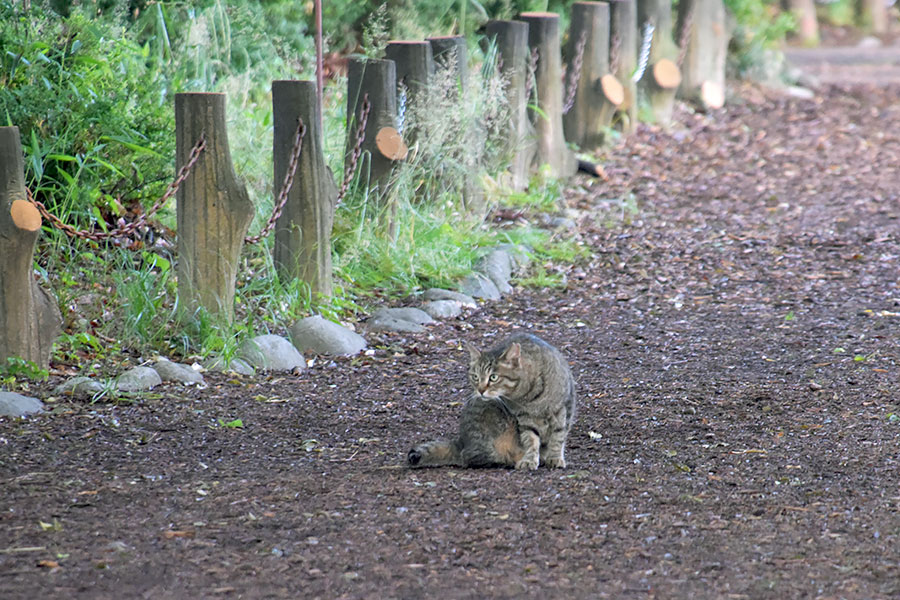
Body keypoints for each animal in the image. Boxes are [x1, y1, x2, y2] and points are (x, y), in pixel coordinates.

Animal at [408, 332, 576, 468]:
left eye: (493, 377)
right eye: (475, 377)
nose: (481, 390)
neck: (529, 397)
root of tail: (461, 441)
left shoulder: (564, 408)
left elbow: (558, 436)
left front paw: (554, 457)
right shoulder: (524, 418)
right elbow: (531, 439)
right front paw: (530, 459)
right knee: (469, 456)